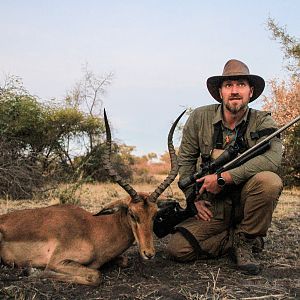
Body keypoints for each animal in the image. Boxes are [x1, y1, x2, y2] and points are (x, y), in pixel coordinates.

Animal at [0, 109, 185, 286]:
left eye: (155, 215)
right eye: (132, 214)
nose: (149, 253)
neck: (93, 228)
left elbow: (122, 261)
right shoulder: (57, 261)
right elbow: (95, 275)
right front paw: (31, 271)